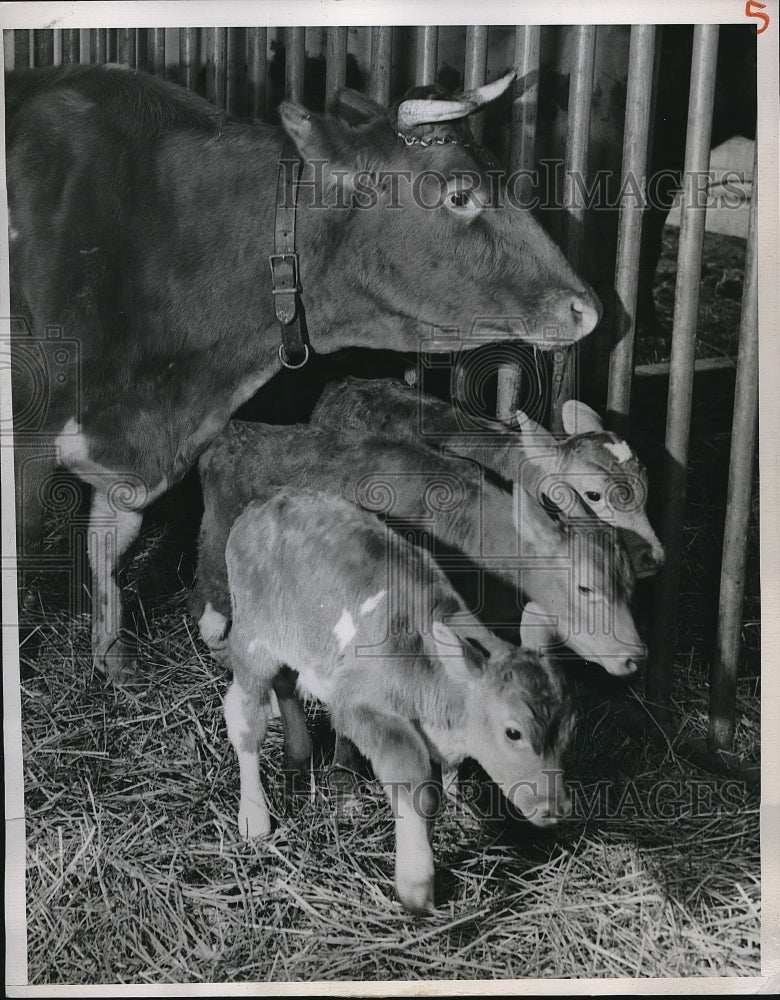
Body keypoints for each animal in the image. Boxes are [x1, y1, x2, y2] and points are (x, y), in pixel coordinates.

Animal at [219, 484, 572, 916]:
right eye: (513, 732)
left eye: (570, 728)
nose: (554, 809)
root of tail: (262, 506)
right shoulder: (362, 705)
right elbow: (412, 774)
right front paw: (416, 884)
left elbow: (440, 786)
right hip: (253, 639)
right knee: (245, 717)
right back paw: (254, 818)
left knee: (286, 682)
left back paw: (299, 752)